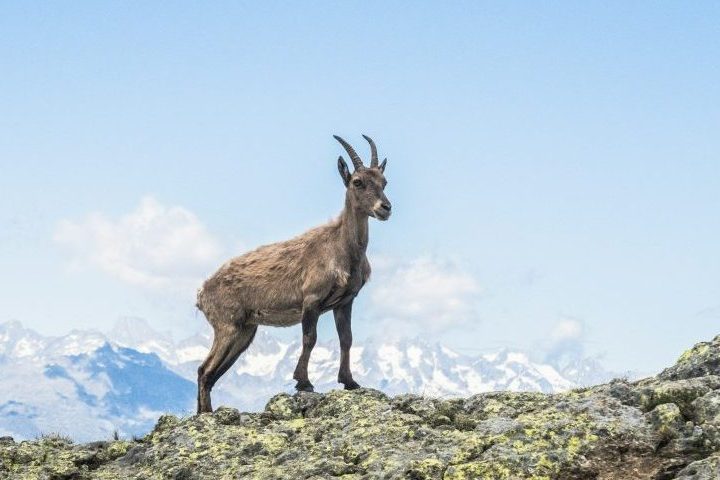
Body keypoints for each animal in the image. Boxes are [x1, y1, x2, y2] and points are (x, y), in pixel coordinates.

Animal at [195, 135, 391, 413]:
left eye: (384, 182)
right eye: (358, 181)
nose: (385, 208)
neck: (342, 249)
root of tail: (201, 294)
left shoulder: (344, 302)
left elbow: (347, 339)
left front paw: (350, 381)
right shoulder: (311, 300)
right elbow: (310, 338)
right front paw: (304, 382)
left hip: (245, 331)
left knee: (210, 374)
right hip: (227, 325)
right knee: (204, 370)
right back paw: (206, 414)